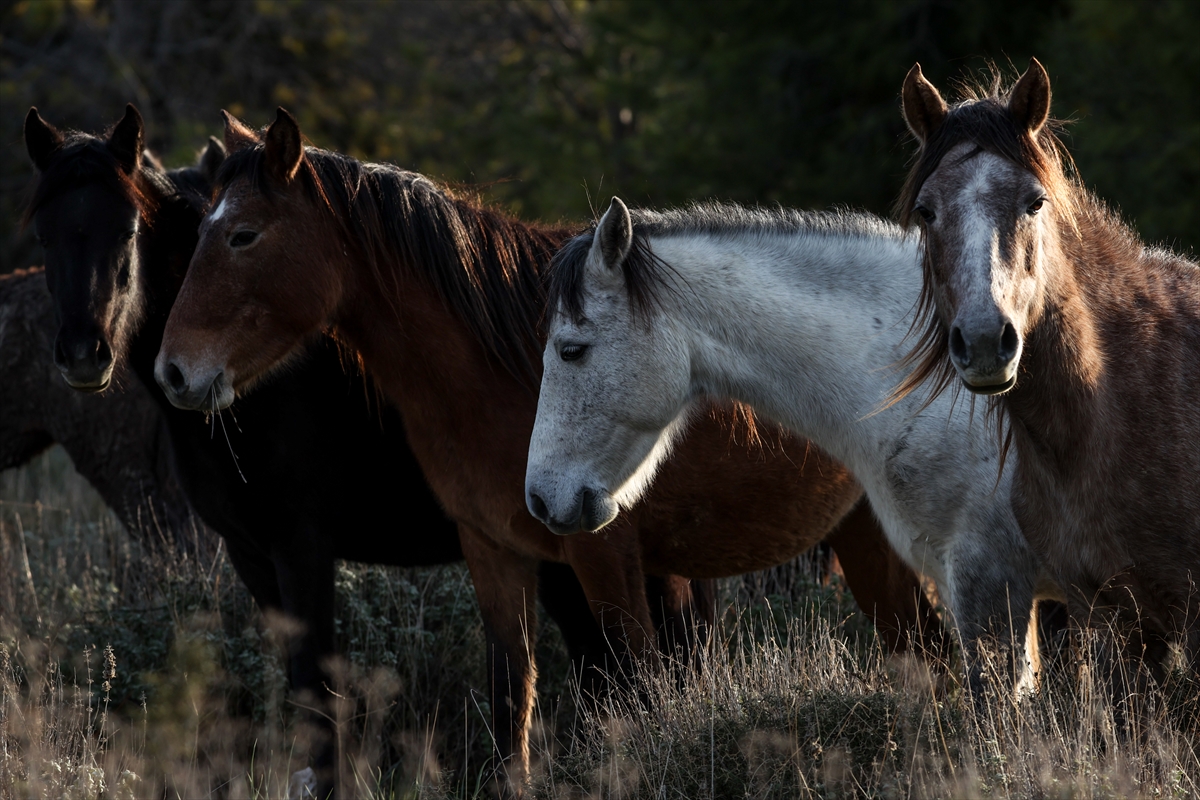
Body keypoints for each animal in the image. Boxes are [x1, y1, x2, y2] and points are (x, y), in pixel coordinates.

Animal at [21, 107, 700, 800]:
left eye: (127, 230)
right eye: (43, 236)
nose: (84, 355)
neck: (271, 393)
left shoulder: (302, 546)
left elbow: (317, 685)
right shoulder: (251, 553)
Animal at [157, 107, 945, 796]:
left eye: (243, 236)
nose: (174, 372)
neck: (497, 369)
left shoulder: (602, 549)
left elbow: (637, 687)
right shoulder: (493, 547)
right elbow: (514, 699)